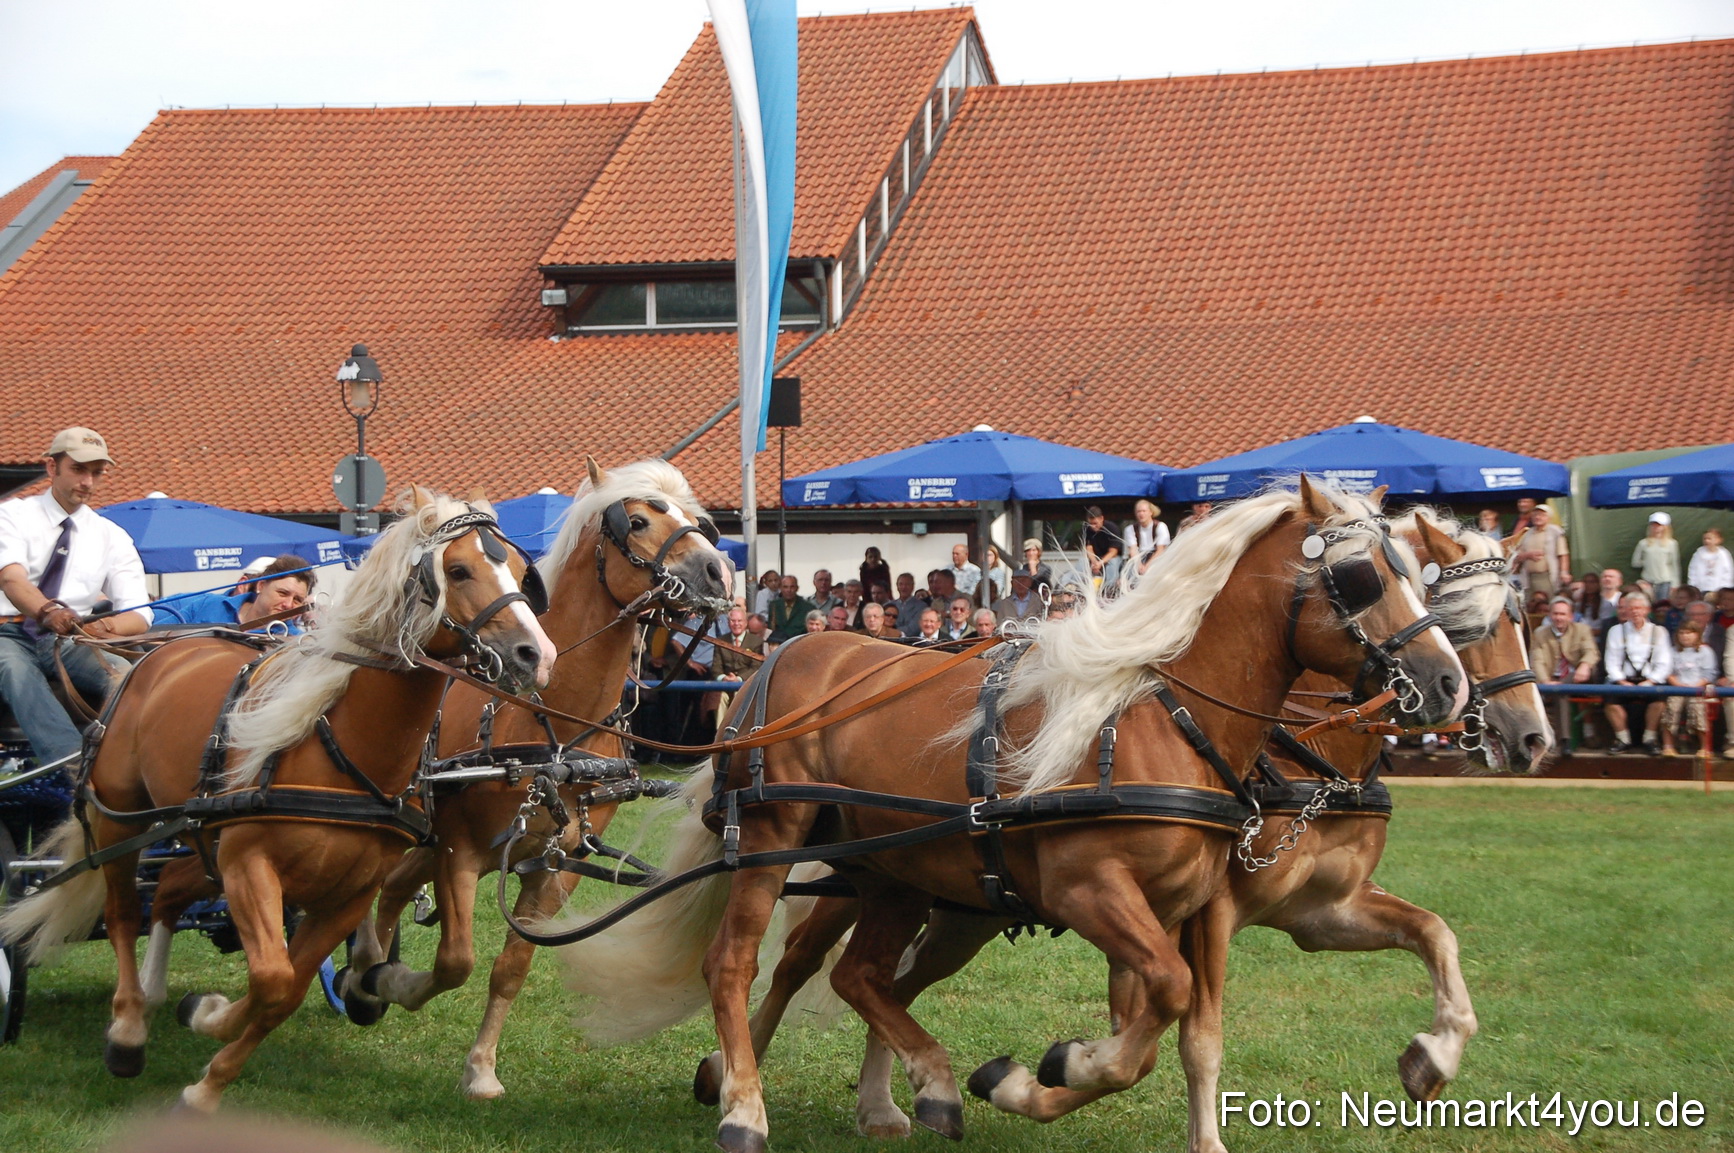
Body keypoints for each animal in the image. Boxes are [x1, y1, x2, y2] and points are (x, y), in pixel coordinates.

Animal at [0, 487, 555, 1112]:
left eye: (521, 572)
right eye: (457, 570)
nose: (536, 655)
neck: (343, 746)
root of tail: (155, 654)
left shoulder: (348, 894)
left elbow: (286, 988)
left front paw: (209, 1064)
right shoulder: (249, 865)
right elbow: (270, 978)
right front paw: (207, 1029)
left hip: (197, 835)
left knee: (166, 892)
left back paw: (154, 990)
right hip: (121, 818)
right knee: (121, 912)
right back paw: (127, 1029)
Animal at [336, 457, 733, 1099]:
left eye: (699, 521)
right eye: (638, 520)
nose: (720, 570)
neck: (556, 729)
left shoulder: (556, 864)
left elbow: (510, 968)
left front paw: (481, 1066)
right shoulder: (461, 848)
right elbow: (456, 960)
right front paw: (393, 984)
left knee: (393, 887)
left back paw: (366, 973)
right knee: (386, 889)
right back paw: (365, 975)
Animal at [559, 478, 1467, 1153]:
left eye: (1422, 578)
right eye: (1363, 577)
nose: (1449, 684)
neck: (1160, 718)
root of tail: (776, 657)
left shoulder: (1212, 906)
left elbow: (1179, 1023)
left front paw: (1433, 1053)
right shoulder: (1090, 891)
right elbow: (1162, 1006)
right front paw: (1050, 1070)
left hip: (896, 876)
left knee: (860, 975)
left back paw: (907, 1091)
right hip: (775, 842)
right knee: (741, 963)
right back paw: (743, 1102)